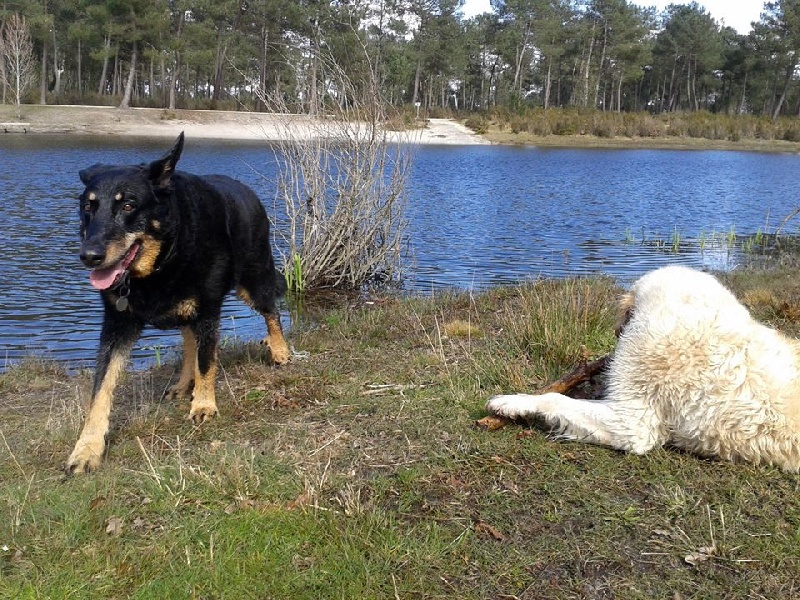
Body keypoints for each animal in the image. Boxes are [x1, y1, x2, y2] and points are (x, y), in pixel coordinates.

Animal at [67, 131, 290, 474]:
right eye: (88, 207)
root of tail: (247, 189)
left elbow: (207, 361)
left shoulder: (208, 311)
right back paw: (185, 383)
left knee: (271, 310)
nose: (89, 256)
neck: (162, 259)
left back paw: (279, 350)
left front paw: (204, 404)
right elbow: (100, 389)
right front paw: (87, 448)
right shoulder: (117, 324)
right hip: (187, 308)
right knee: (189, 342)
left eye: (128, 205)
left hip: (253, 280)